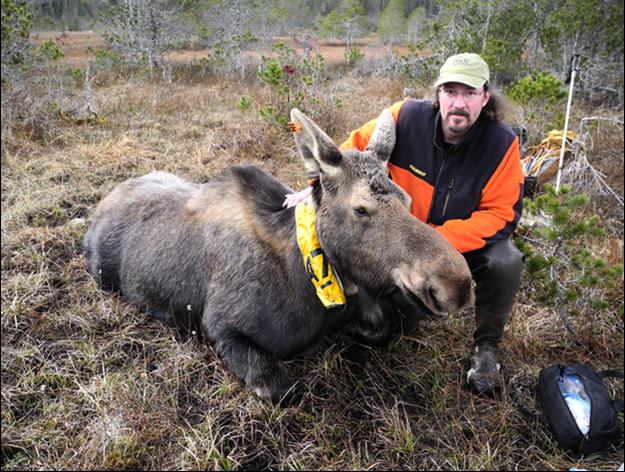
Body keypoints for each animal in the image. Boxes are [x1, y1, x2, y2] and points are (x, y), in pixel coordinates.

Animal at [84, 108, 472, 402]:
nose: (455, 285)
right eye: (361, 209)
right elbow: (282, 388)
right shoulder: (221, 327)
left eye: (407, 199)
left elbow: (379, 328)